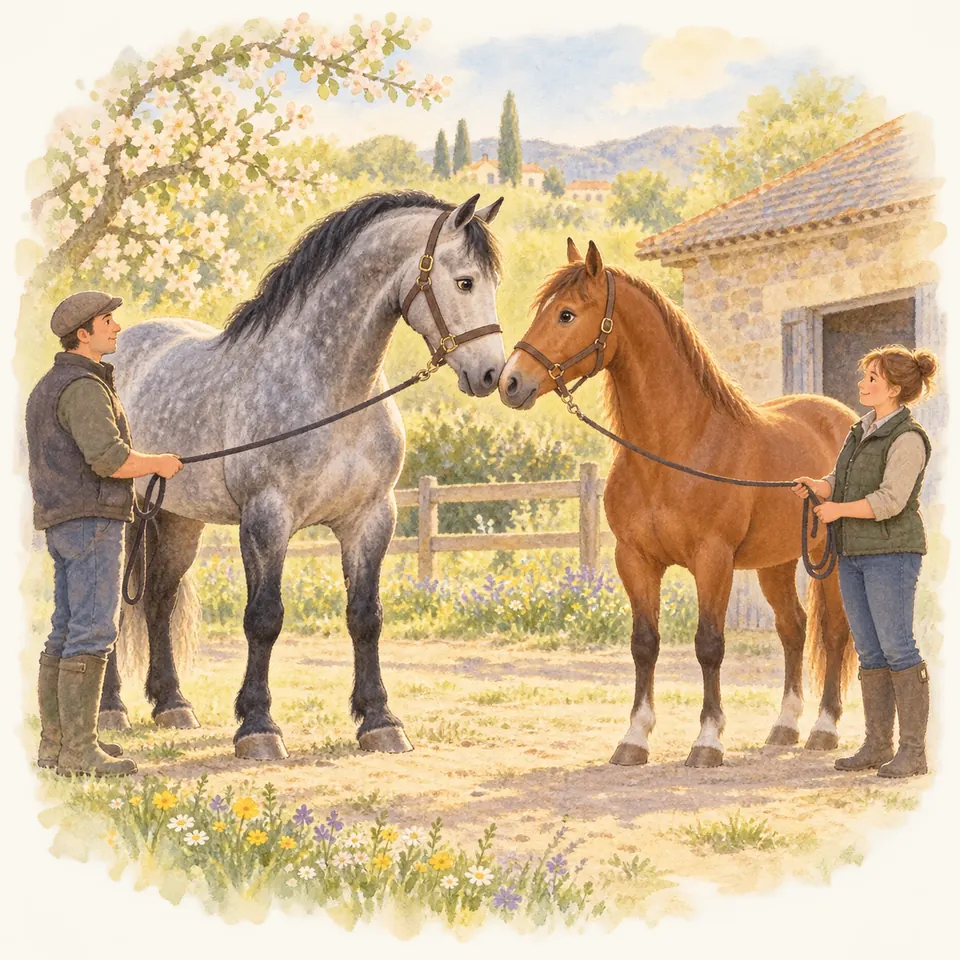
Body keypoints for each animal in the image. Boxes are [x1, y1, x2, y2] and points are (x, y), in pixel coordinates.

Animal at [99, 190, 506, 761]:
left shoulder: (370, 518)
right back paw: (111, 709)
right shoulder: (267, 519)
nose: (491, 373)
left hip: (178, 520)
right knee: (112, 608)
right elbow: (264, 618)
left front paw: (380, 720)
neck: (333, 392)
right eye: (465, 281)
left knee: (157, 599)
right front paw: (258, 726)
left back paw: (173, 705)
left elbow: (366, 616)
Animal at [499, 238, 857, 768]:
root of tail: (847, 418)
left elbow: (709, 645)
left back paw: (825, 729)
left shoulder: (713, 560)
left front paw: (707, 741)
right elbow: (644, 645)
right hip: (776, 562)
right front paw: (634, 738)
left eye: (566, 314)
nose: (510, 382)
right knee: (793, 628)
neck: (676, 448)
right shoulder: (635, 559)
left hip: (825, 560)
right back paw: (784, 726)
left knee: (833, 633)